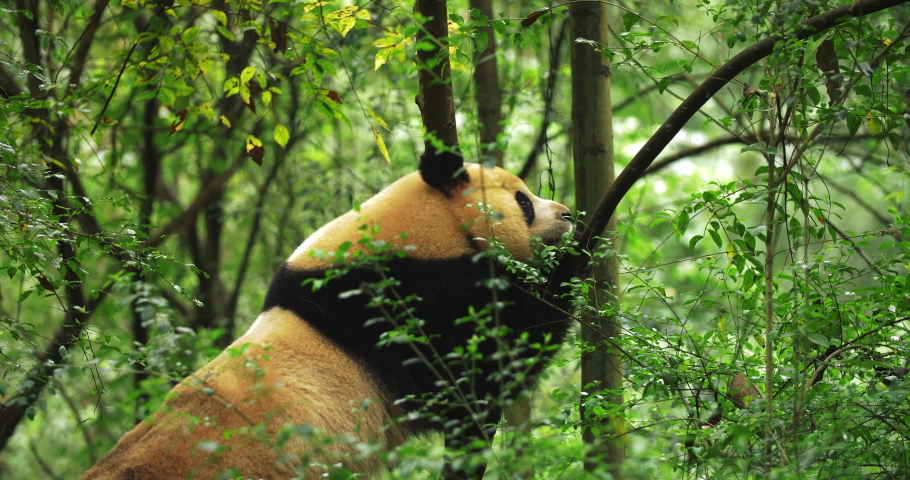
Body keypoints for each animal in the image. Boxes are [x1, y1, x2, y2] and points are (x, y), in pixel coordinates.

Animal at [83, 149, 577, 480]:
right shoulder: (400, 302)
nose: (568, 214)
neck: (423, 226)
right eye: (523, 200)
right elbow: (493, 353)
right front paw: (573, 261)